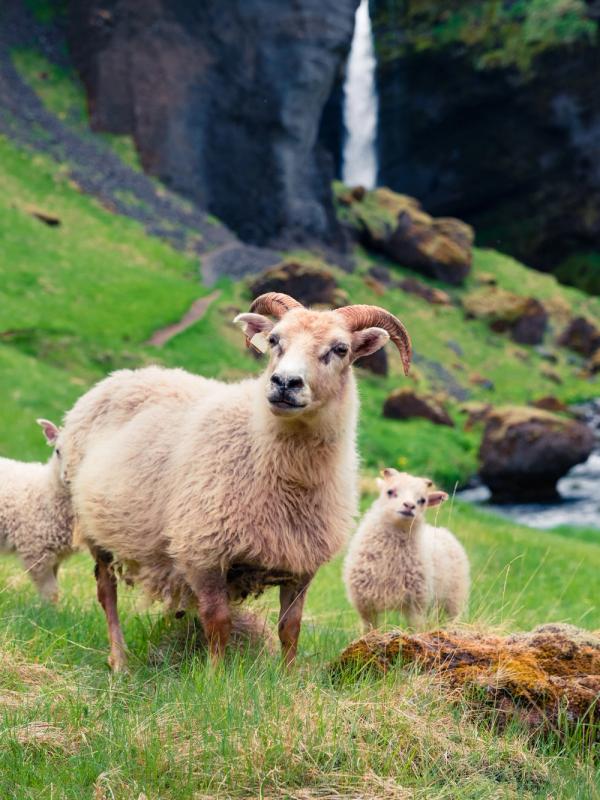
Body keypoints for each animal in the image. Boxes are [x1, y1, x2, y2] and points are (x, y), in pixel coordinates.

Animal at [0, 420, 74, 602]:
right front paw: (49, 610)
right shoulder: (35, 551)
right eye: (57, 451)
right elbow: (51, 592)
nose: (67, 477)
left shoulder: (55, 555)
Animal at [59, 292, 412, 670]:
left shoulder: (301, 563)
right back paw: (120, 660)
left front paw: (288, 676)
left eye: (340, 349)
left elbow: (290, 627)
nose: (285, 383)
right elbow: (218, 623)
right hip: (94, 528)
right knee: (106, 593)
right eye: (274, 341)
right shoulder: (202, 551)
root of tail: (121, 376)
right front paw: (214, 676)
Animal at [344, 469, 469, 631]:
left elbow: (415, 630)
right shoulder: (365, 605)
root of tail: (442, 530)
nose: (409, 506)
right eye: (390, 492)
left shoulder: (416, 606)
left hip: (453, 599)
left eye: (422, 500)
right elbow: (369, 631)